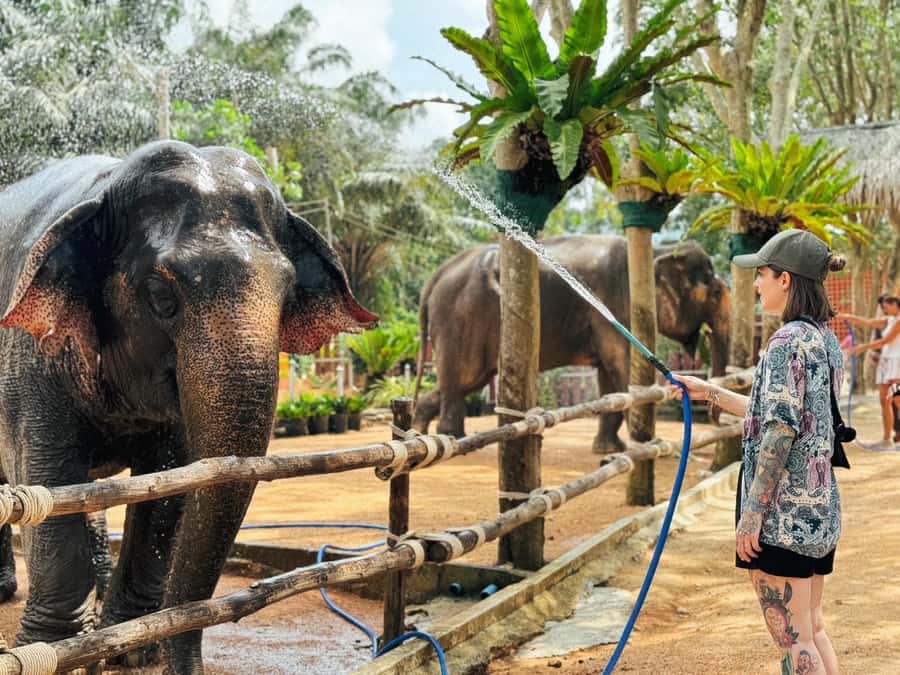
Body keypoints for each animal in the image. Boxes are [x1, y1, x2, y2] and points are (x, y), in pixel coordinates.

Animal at [0, 141, 376, 673]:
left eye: (287, 292)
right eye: (160, 294)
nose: (184, 661)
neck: (107, 182)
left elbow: (172, 484)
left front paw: (132, 651)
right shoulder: (28, 353)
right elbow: (45, 476)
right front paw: (58, 651)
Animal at [412, 234, 730, 451]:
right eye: (715, 292)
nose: (718, 423)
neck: (661, 250)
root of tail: (435, 277)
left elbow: (609, 379)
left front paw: (609, 450)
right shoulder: (614, 304)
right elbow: (621, 365)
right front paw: (650, 445)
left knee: (457, 385)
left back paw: (421, 435)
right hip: (460, 319)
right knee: (461, 382)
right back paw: (453, 439)